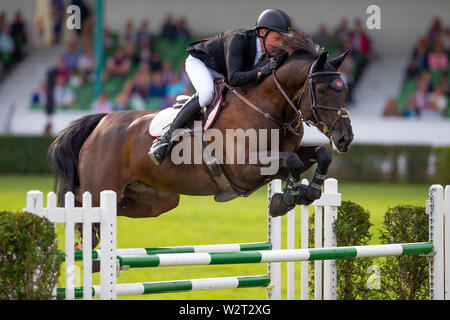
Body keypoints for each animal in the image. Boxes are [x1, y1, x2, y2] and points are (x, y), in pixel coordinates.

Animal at [48, 33, 352, 250]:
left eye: (345, 89)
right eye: (322, 89)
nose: (345, 137)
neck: (268, 106)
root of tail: (101, 123)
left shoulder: (280, 159)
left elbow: (319, 155)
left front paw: (307, 192)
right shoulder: (243, 169)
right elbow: (292, 162)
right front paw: (285, 199)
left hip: (156, 200)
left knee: (111, 212)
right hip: (102, 188)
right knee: (83, 202)